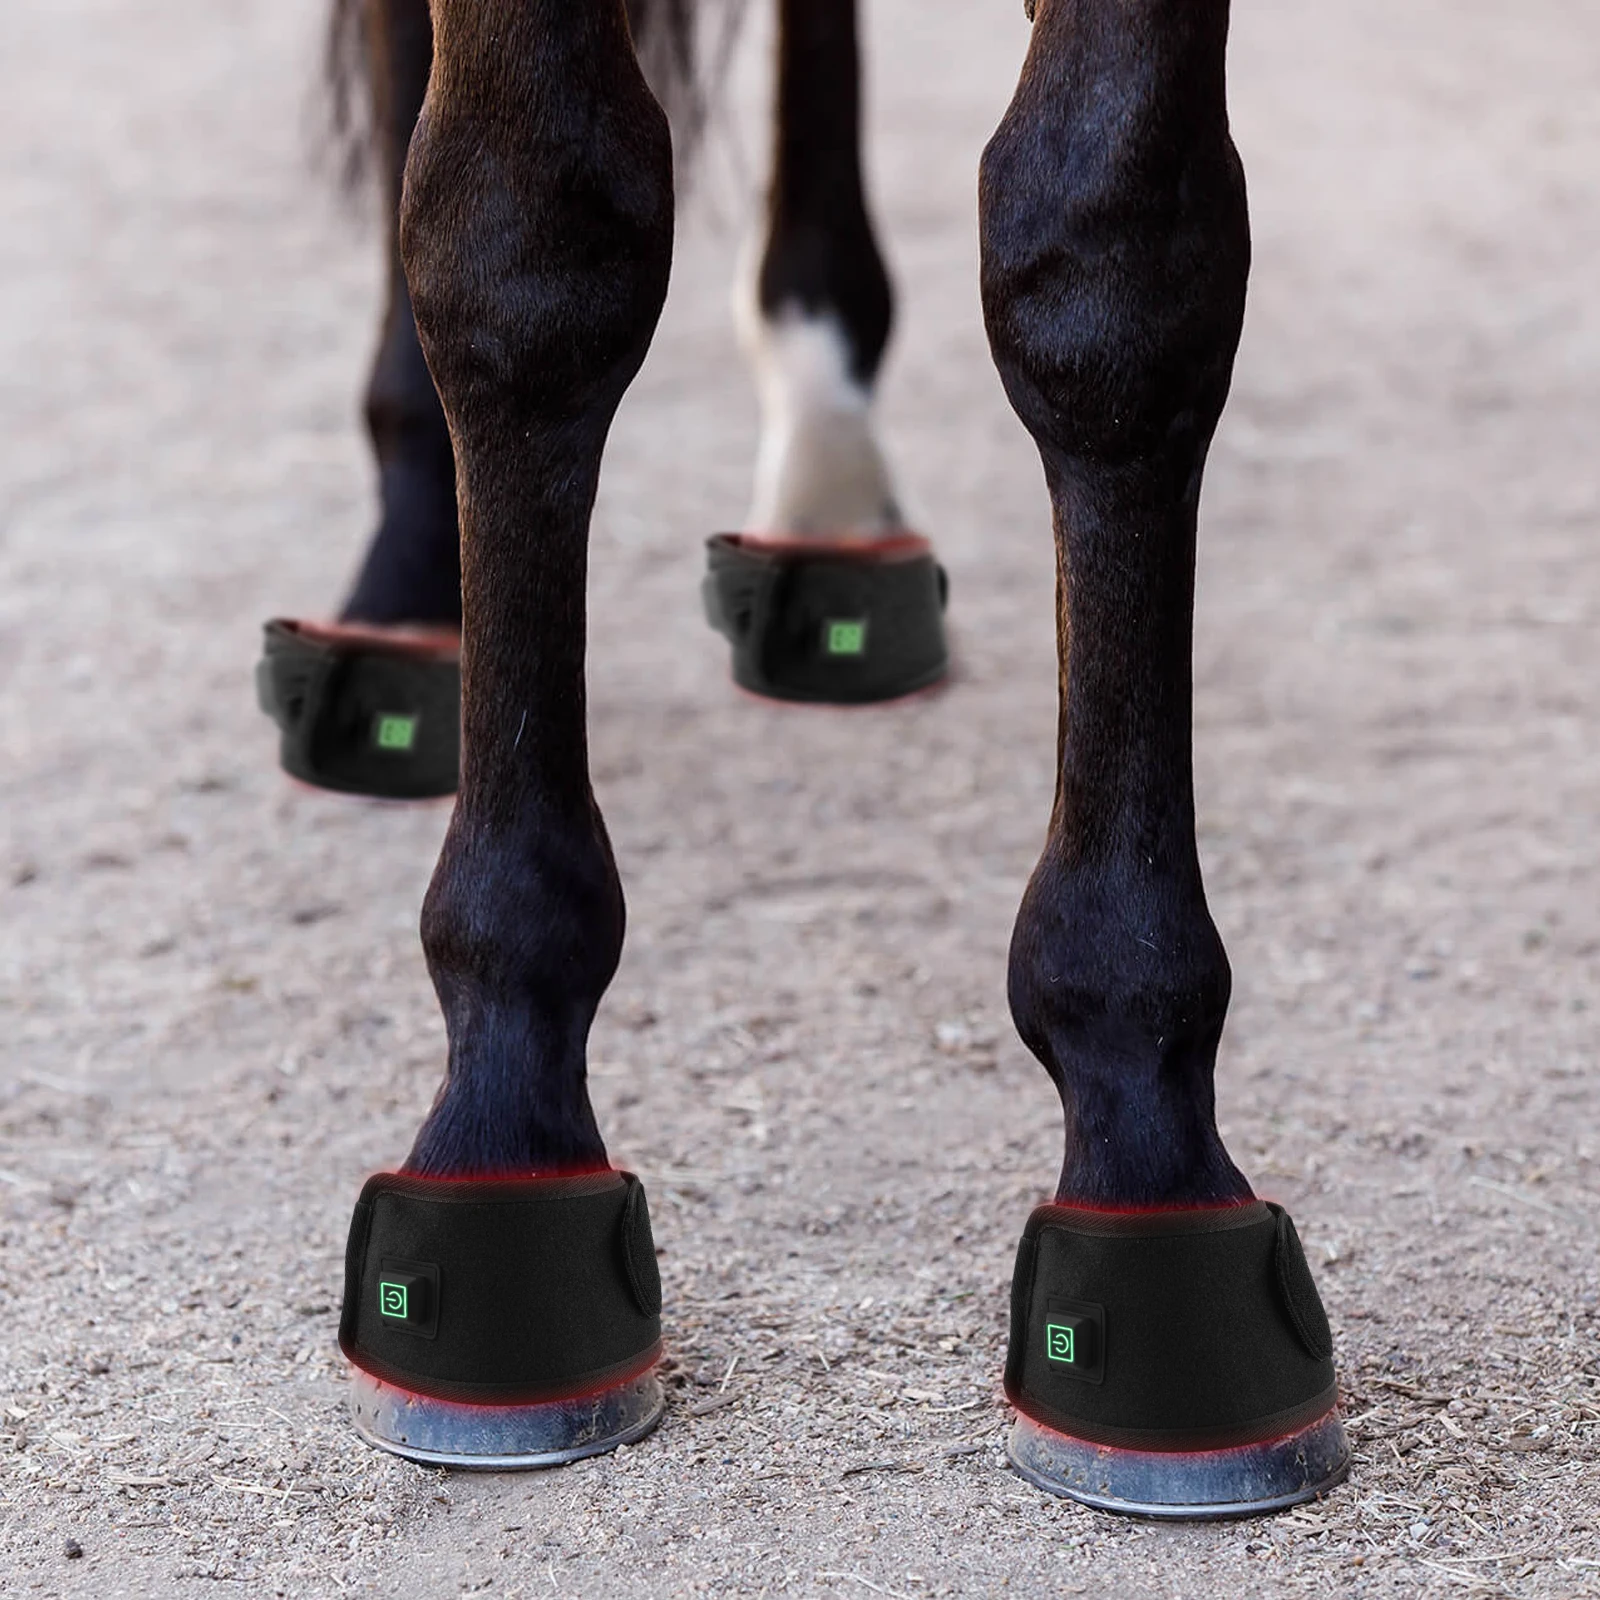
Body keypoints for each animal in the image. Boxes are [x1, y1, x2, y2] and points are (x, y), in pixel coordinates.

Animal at [268, 0, 1349, 1518]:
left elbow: (1114, 267)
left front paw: (1145, 1137)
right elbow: (524, 238)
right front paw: (501, 1119)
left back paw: (831, 498)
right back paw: (406, 587)